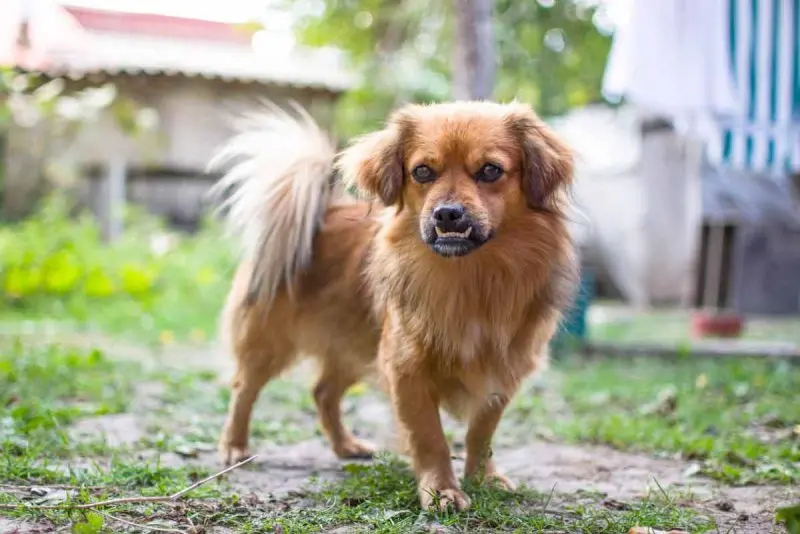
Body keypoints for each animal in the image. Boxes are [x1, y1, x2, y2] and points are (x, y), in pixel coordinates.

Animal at [209, 99, 580, 510]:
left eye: (490, 170)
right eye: (422, 171)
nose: (447, 212)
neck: (469, 279)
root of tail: (322, 212)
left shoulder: (501, 369)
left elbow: (481, 433)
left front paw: (483, 476)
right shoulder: (406, 369)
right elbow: (430, 436)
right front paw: (442, 489)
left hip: (357, 340)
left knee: (323, 391)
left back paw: (346, 445)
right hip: (271, 341)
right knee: (245, 388)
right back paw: (234, 446)